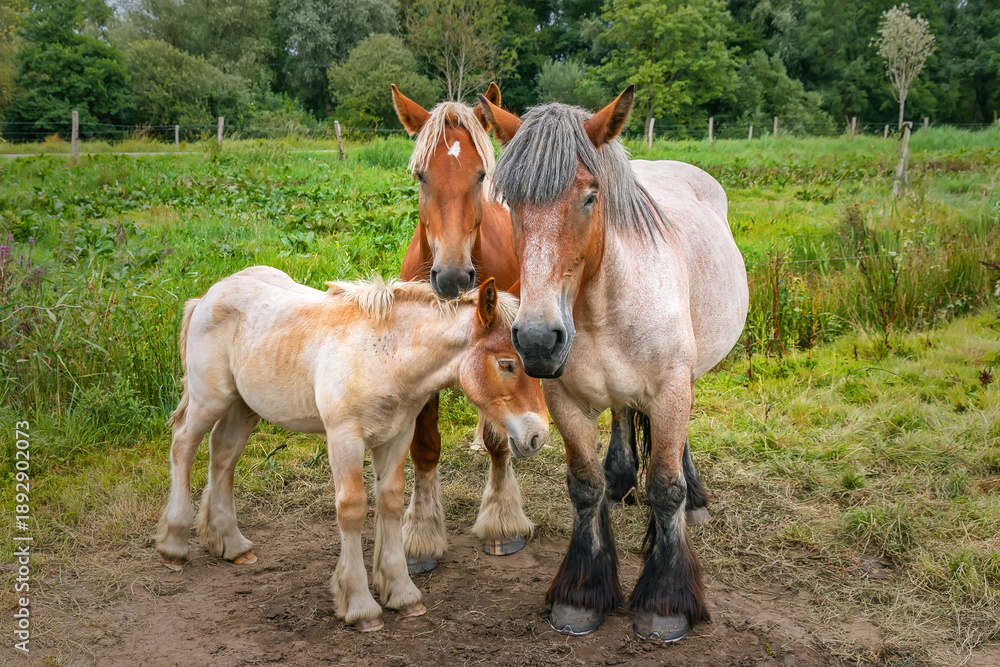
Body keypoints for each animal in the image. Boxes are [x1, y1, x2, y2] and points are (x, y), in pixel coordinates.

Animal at [153, 266, 549, 632]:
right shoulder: (344, 437)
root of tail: (210, 294)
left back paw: (232, 545)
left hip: (244, 405)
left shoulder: (397, 436)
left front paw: (402, 594)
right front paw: (360, 606)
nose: (538, 435)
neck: (385, 356)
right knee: (183, 445)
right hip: (210, 400)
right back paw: (173, 546)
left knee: (223, 453)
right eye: (506, 363)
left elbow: (390, 502)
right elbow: (352, 509)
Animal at [391, 84, 540, 572]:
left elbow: (499, 439)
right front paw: (419, 537)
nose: (453, 277)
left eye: (480, 175)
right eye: (421, 175)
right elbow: (424, 446)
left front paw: (502, 523)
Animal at [477, 87, 749, 642]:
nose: (537, 339)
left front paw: (665, 601)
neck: (602, 308)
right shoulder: (563, 398)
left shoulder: (670, 390)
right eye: (511, 202)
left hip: (686, 379)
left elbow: (666, 486)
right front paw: (582, 593)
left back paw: (695, 499)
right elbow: (584, 486)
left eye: (589, 196)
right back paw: (622, 480)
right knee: (623, 416)